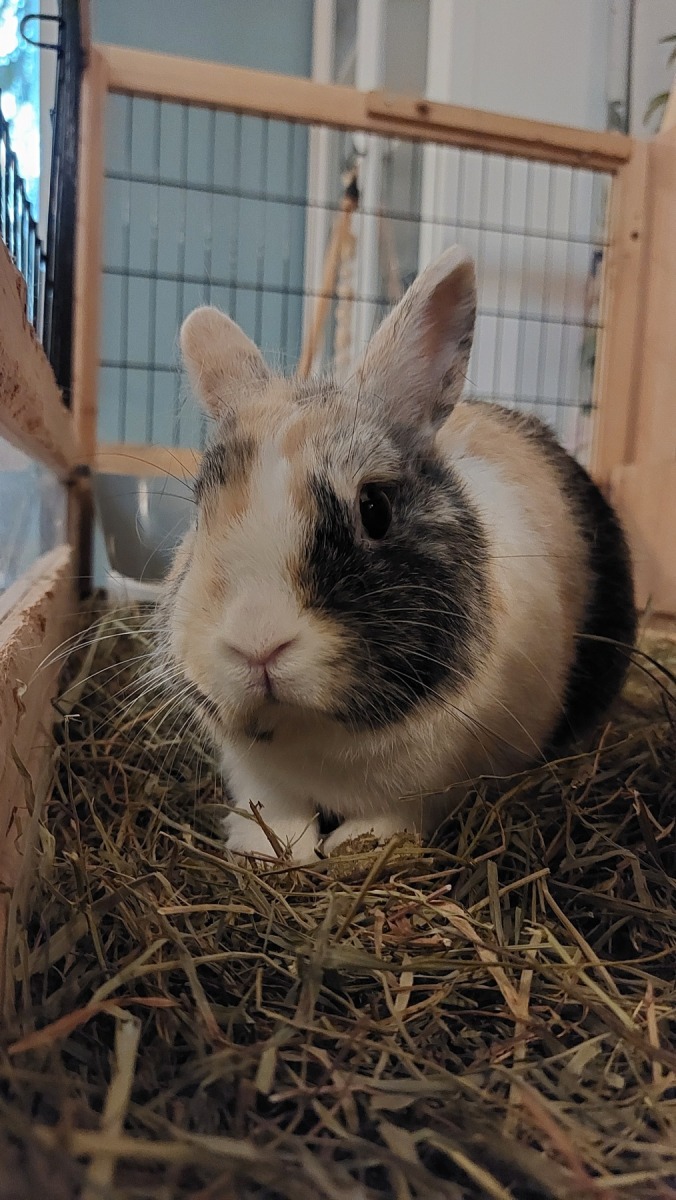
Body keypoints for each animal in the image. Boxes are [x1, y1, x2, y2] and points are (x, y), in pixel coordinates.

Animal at [156, 245, 636, 863]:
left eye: (375, 509)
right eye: (201, 513)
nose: (257, 646)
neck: (320, 733)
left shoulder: (450, 776)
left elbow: (400, 812)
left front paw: (356, 847)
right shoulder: (254, 774)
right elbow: (273, 809)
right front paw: (272, 850)